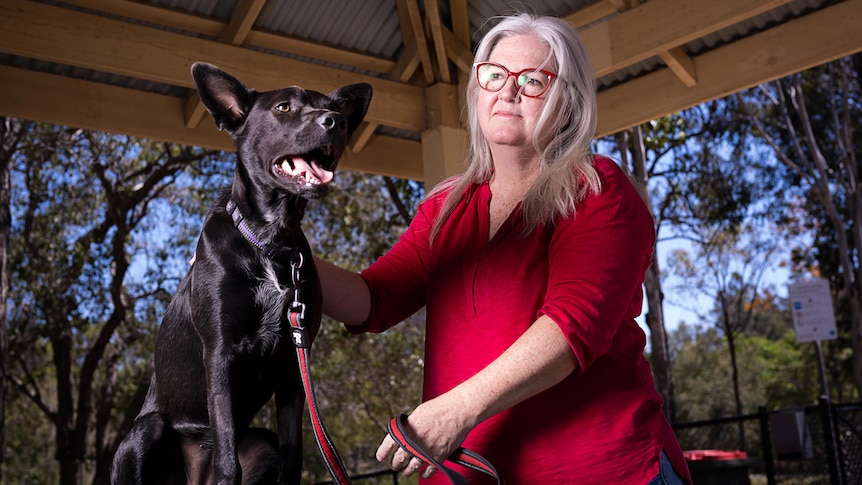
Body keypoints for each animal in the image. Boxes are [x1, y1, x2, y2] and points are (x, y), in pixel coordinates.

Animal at [110, 64, 372, 484]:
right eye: (284, 107)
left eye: (333, 108)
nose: (338, 122)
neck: (269, 240)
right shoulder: (220, 352)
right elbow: (227, 456)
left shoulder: (293, 367)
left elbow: (293, 455)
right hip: (144, 431)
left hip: (263, 443)